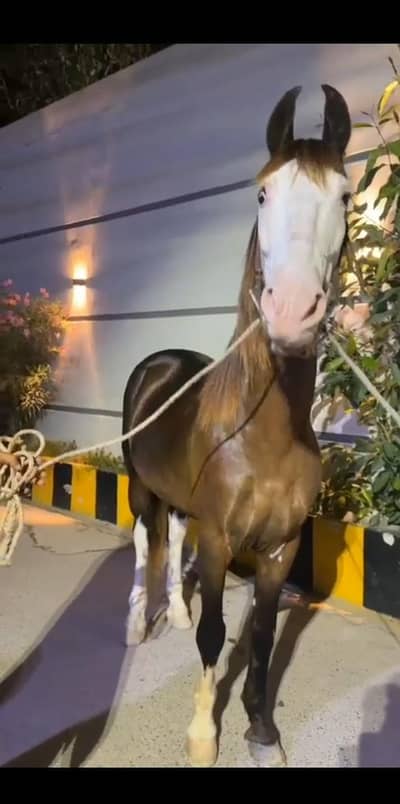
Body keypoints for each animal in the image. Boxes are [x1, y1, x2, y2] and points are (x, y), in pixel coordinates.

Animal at [121, 83, 352, 767]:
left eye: (345, 195)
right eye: (262, 193)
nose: (293, 311)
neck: (263, 437)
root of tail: (158, 361)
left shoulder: (281, 547)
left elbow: (266, 634)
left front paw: (261, 728)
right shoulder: (222, 541)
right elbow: (216, 632)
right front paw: (204, 733)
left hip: (177, 497)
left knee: (172, 537)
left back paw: (170, 612)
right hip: (138, 486)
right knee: (144, 543)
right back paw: (137, 623)